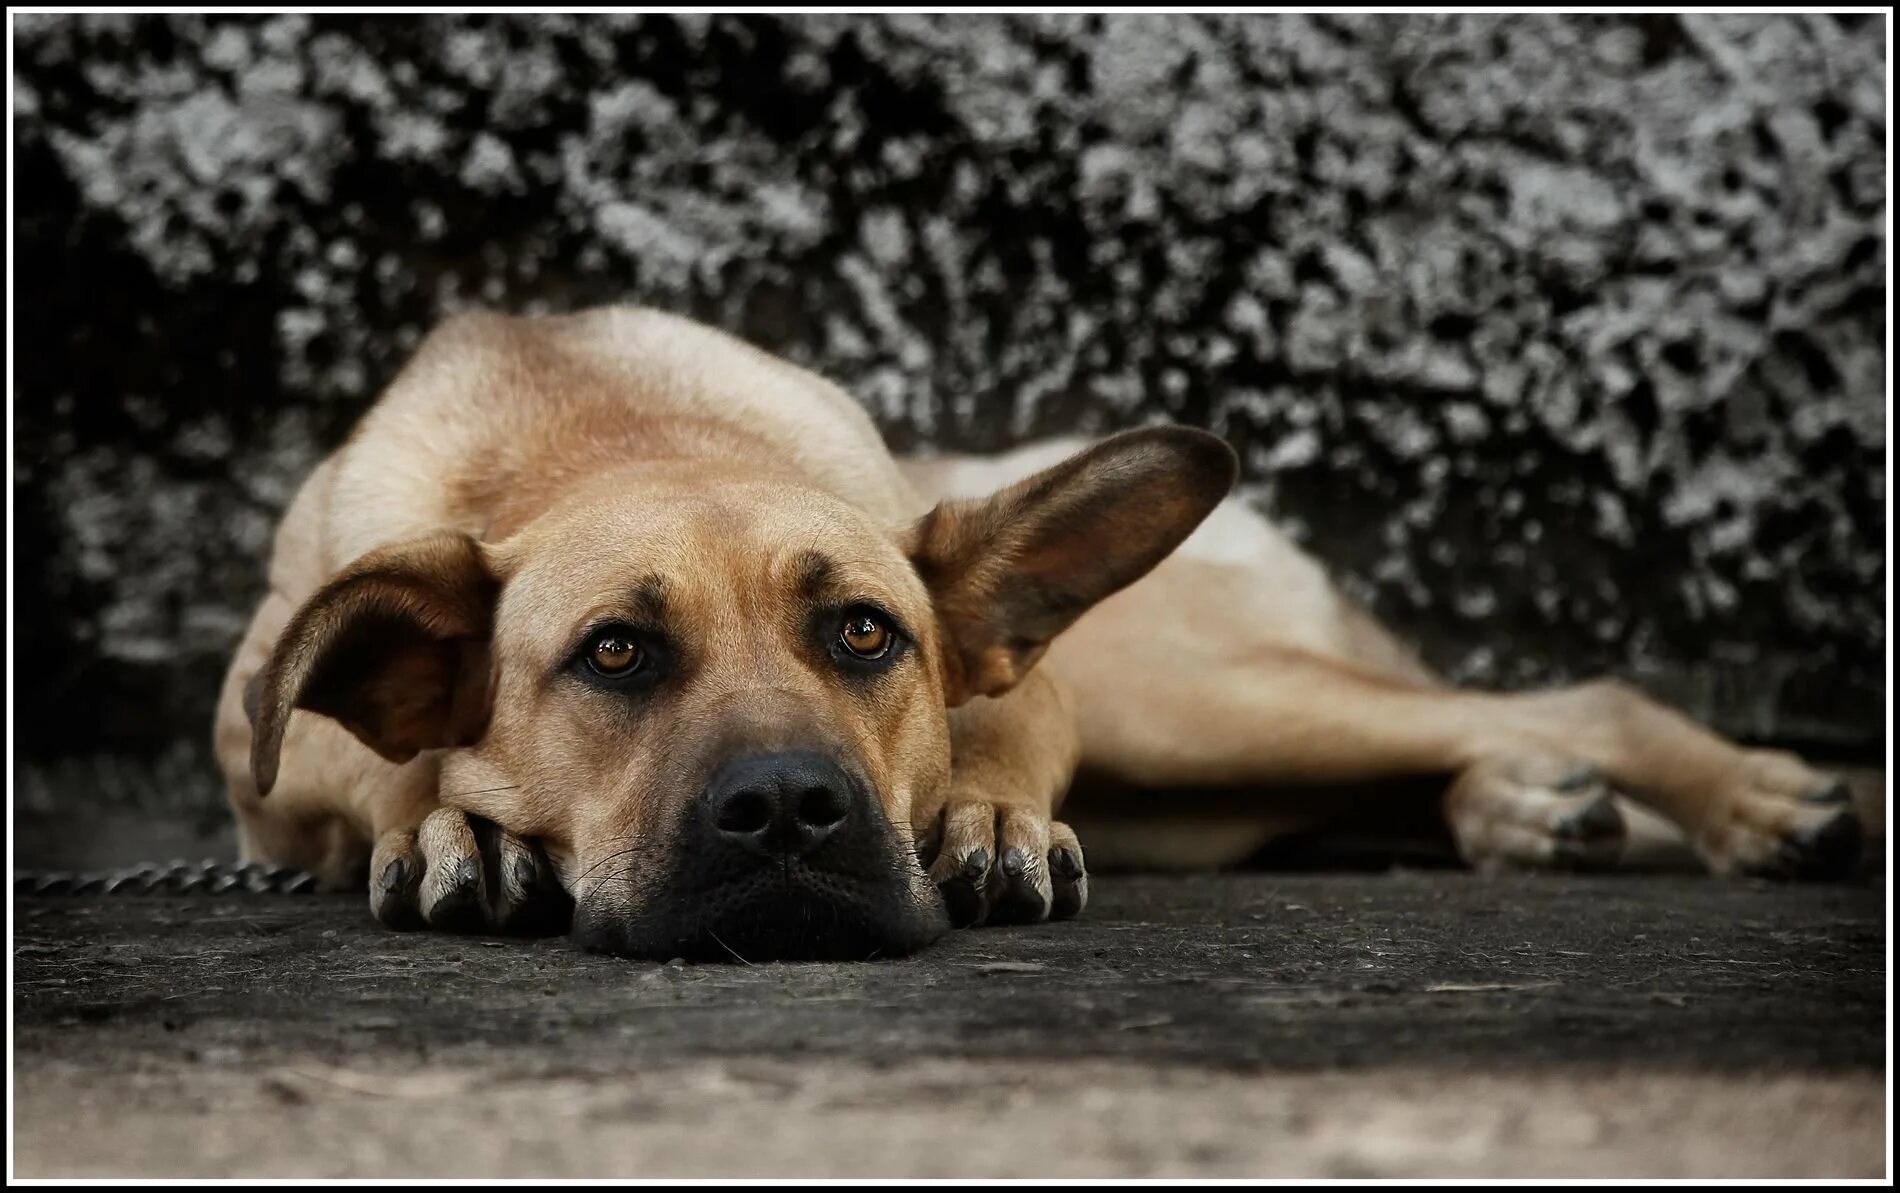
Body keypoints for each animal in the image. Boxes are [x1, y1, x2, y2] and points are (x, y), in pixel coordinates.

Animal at [215, 305, 1862, 961]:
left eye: (866, 634)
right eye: (614, 653)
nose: (789, 812)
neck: (605, 435)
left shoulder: (1027, 678)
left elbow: (999, 729)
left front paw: (988, 823)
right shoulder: (260, 756)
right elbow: (366, 760)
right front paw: (453, 824)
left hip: (1182, 701)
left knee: (1573, 699)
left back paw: (1753, 802)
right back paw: (1529, 813)